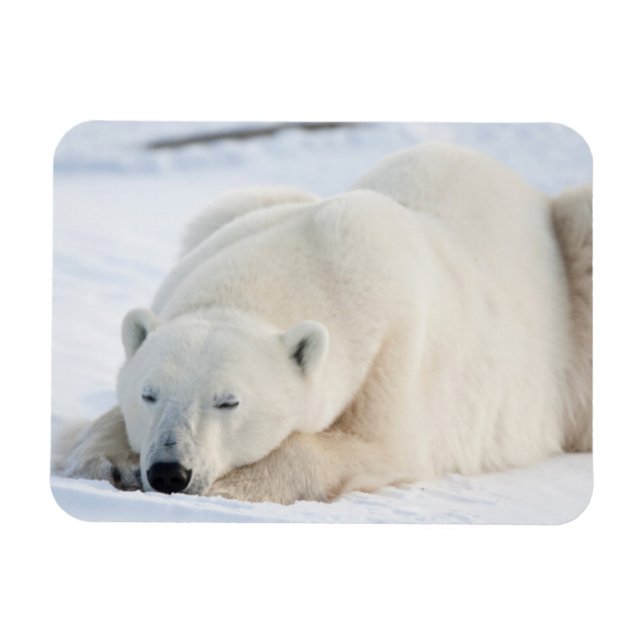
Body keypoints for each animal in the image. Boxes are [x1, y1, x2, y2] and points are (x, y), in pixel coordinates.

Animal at [55, 142, 592, 504]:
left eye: (228, 401)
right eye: (149, 394)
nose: (169, 472)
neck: (319, 248)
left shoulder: (396, 349)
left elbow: (378, 447)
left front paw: (235, 486)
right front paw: (104, 460)